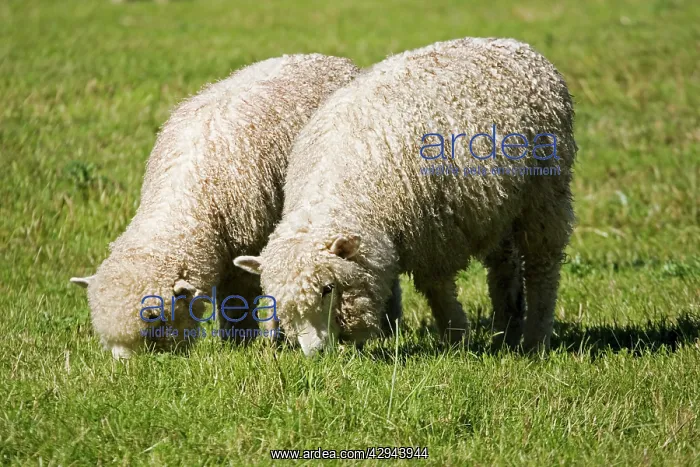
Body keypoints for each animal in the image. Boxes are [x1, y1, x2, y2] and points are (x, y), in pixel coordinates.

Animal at [70, 54, 360, 359]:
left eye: (153, 318)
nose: (124, 365)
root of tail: (330, 58)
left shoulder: (246, 250)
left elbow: (239, 301)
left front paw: (241, 341)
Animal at [234, 37, 577, 356]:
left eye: (327, 289)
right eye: (280, 302)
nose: (314, 353)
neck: (340, 190)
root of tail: (515, 45)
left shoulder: (433, 234)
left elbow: (437, 289)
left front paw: (456, 339)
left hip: (546, 192)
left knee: (542, 265)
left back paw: (535, 341)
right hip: (501, 206)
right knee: (504, 265)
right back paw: (506, 333)